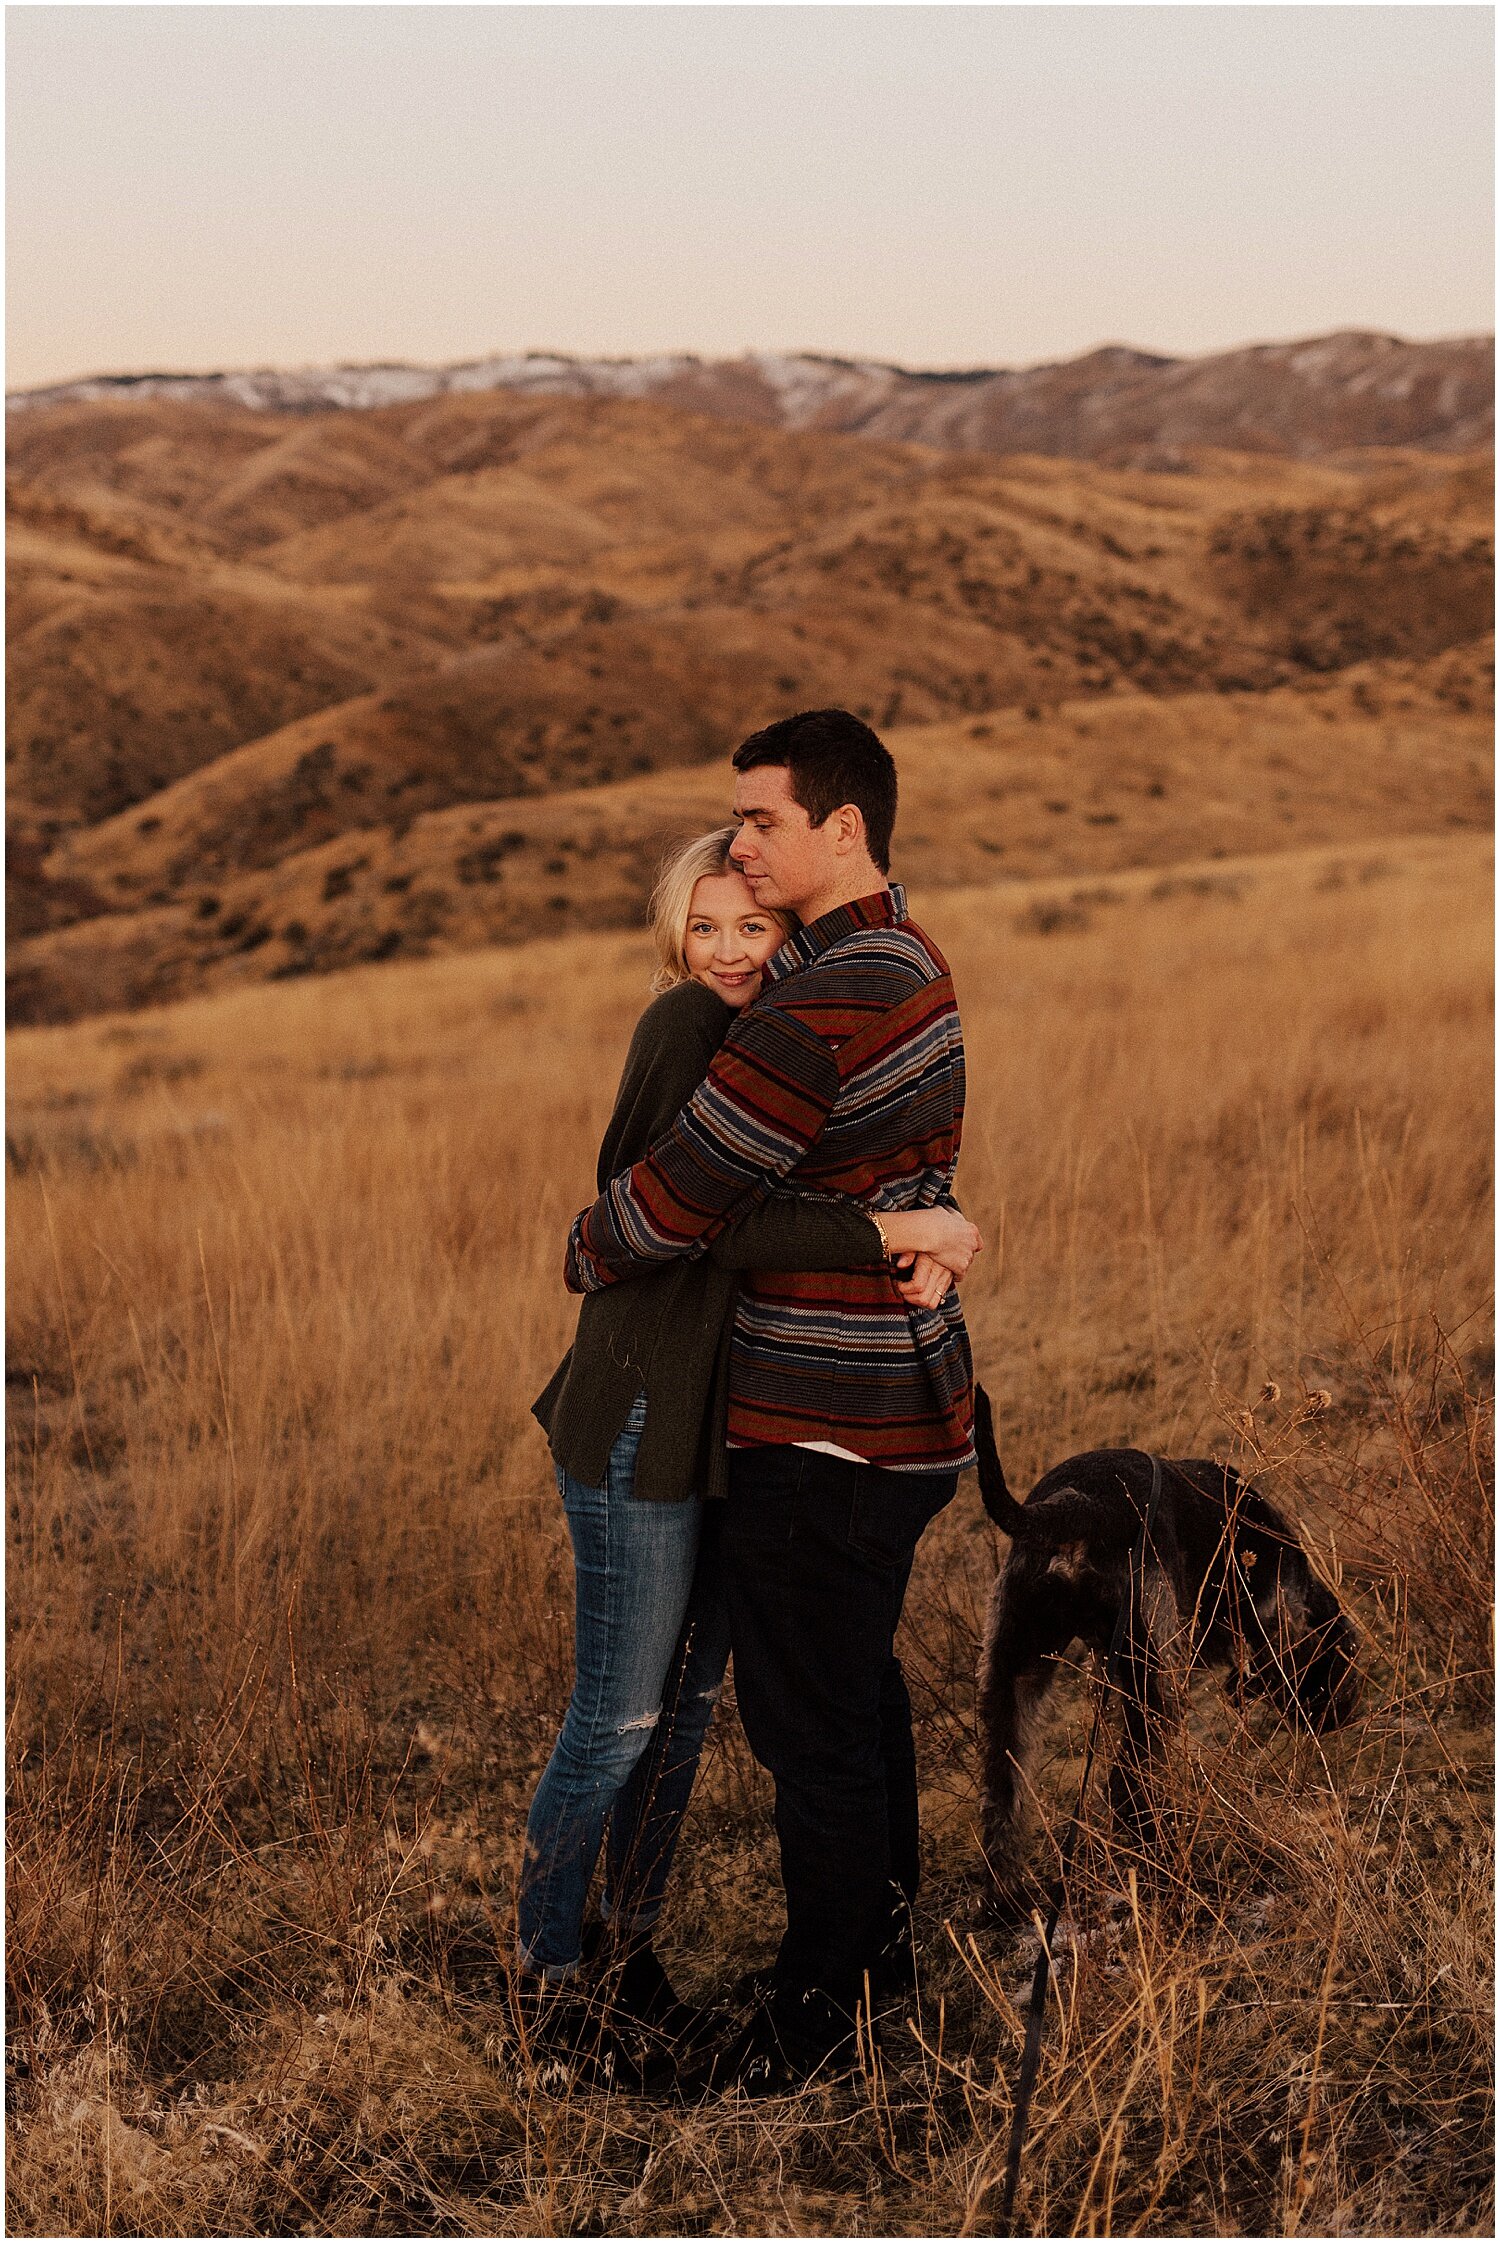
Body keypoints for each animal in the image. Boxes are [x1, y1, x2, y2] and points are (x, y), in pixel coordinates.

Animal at [973, 1390, 1354, 1902]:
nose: (1339, 1717)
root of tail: (1081, 1503)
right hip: (1156, 1685)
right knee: (1128, 1789)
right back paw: (1170, 1873)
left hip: (1013, 1679)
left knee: (1003, 1801)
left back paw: (1004, 1898)